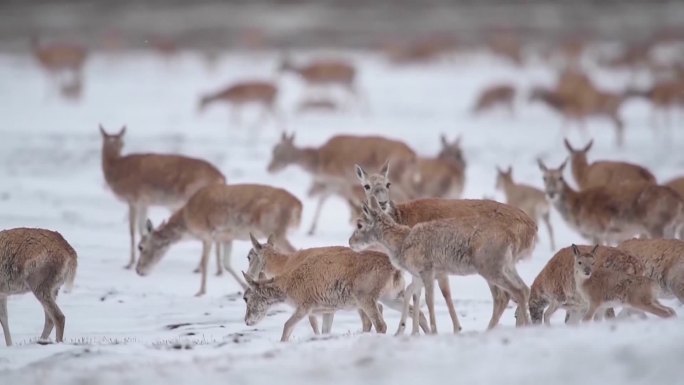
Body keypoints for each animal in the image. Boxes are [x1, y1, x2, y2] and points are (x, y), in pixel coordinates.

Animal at [100, 126, 226, 270]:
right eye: (108, 141)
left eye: (123, 143)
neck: (116, 166)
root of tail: (221, 178)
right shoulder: (143, 203)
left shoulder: (134, 200)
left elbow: (133, 229)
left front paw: (129, 263)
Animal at [135, 182, 300, 296]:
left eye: (141, 246)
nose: (138, 270)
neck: (188, 220)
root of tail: (298, 206)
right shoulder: (227, 237)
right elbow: (226, 263)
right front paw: (244, 286)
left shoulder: (206, 234)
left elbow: (204, 262)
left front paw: (200, 292)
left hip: (276, 230)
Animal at [268, 132, 416, 234]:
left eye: (276, 149)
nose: (269, 168)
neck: (319, 160)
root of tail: (412, 154)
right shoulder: (333, 185)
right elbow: (322, 200)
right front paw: (311, 229)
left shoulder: (342, 182)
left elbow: (349, 201)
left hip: (398, 180)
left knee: (409, 195)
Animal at [352, 164, 540, 330]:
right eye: (366, 185)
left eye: (388, 183)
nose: (382, 203)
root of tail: (532, 226)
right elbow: (422, 294)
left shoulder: (428, 268)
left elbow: (431, 295)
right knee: (517, 292)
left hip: (489, 263)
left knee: (504, 296)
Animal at [536, 158, 680, 243]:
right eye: (544, 178)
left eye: (560, 178)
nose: (551, 193)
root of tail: (679, 201)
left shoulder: (597, 231)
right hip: (670, 227)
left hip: (656, 225)